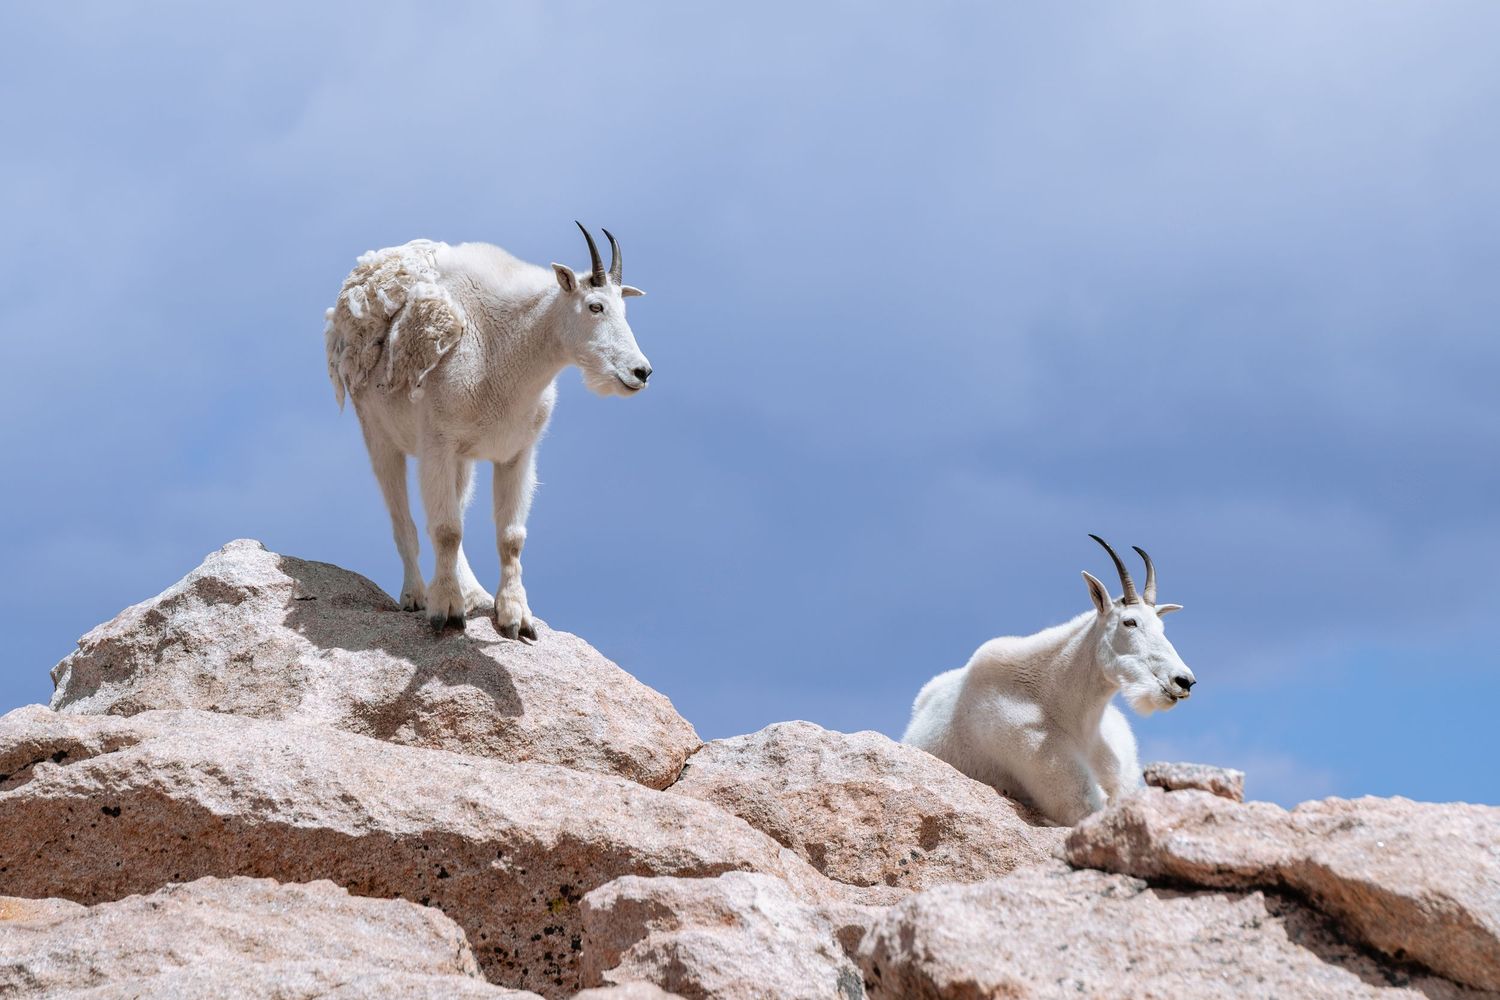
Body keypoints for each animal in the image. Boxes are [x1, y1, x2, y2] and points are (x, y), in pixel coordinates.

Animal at [324, 223, 650, 636]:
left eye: (623, 308)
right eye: (595, 306)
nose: (641, 372)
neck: (508, 351)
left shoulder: (517, 453)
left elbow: (510, 537)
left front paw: (515, 617)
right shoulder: (436, 445)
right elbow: (446, 529)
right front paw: (446, 610)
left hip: (463, 461)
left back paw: (474, 594)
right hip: (379, 434)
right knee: (404, 519)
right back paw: (415, 595)